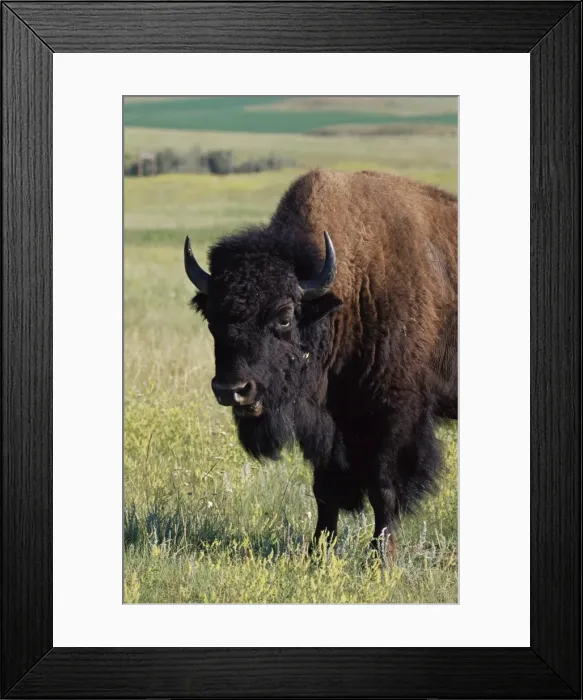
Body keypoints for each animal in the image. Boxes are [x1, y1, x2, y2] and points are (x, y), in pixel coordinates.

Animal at [184, 169, 457, 562]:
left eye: (284, 317)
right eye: (211, 318)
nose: (232, 390)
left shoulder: (394, 416)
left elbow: (384, 487)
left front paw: (382, 560)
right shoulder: (327, 422)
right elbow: (324, 490)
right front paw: (317, 554)